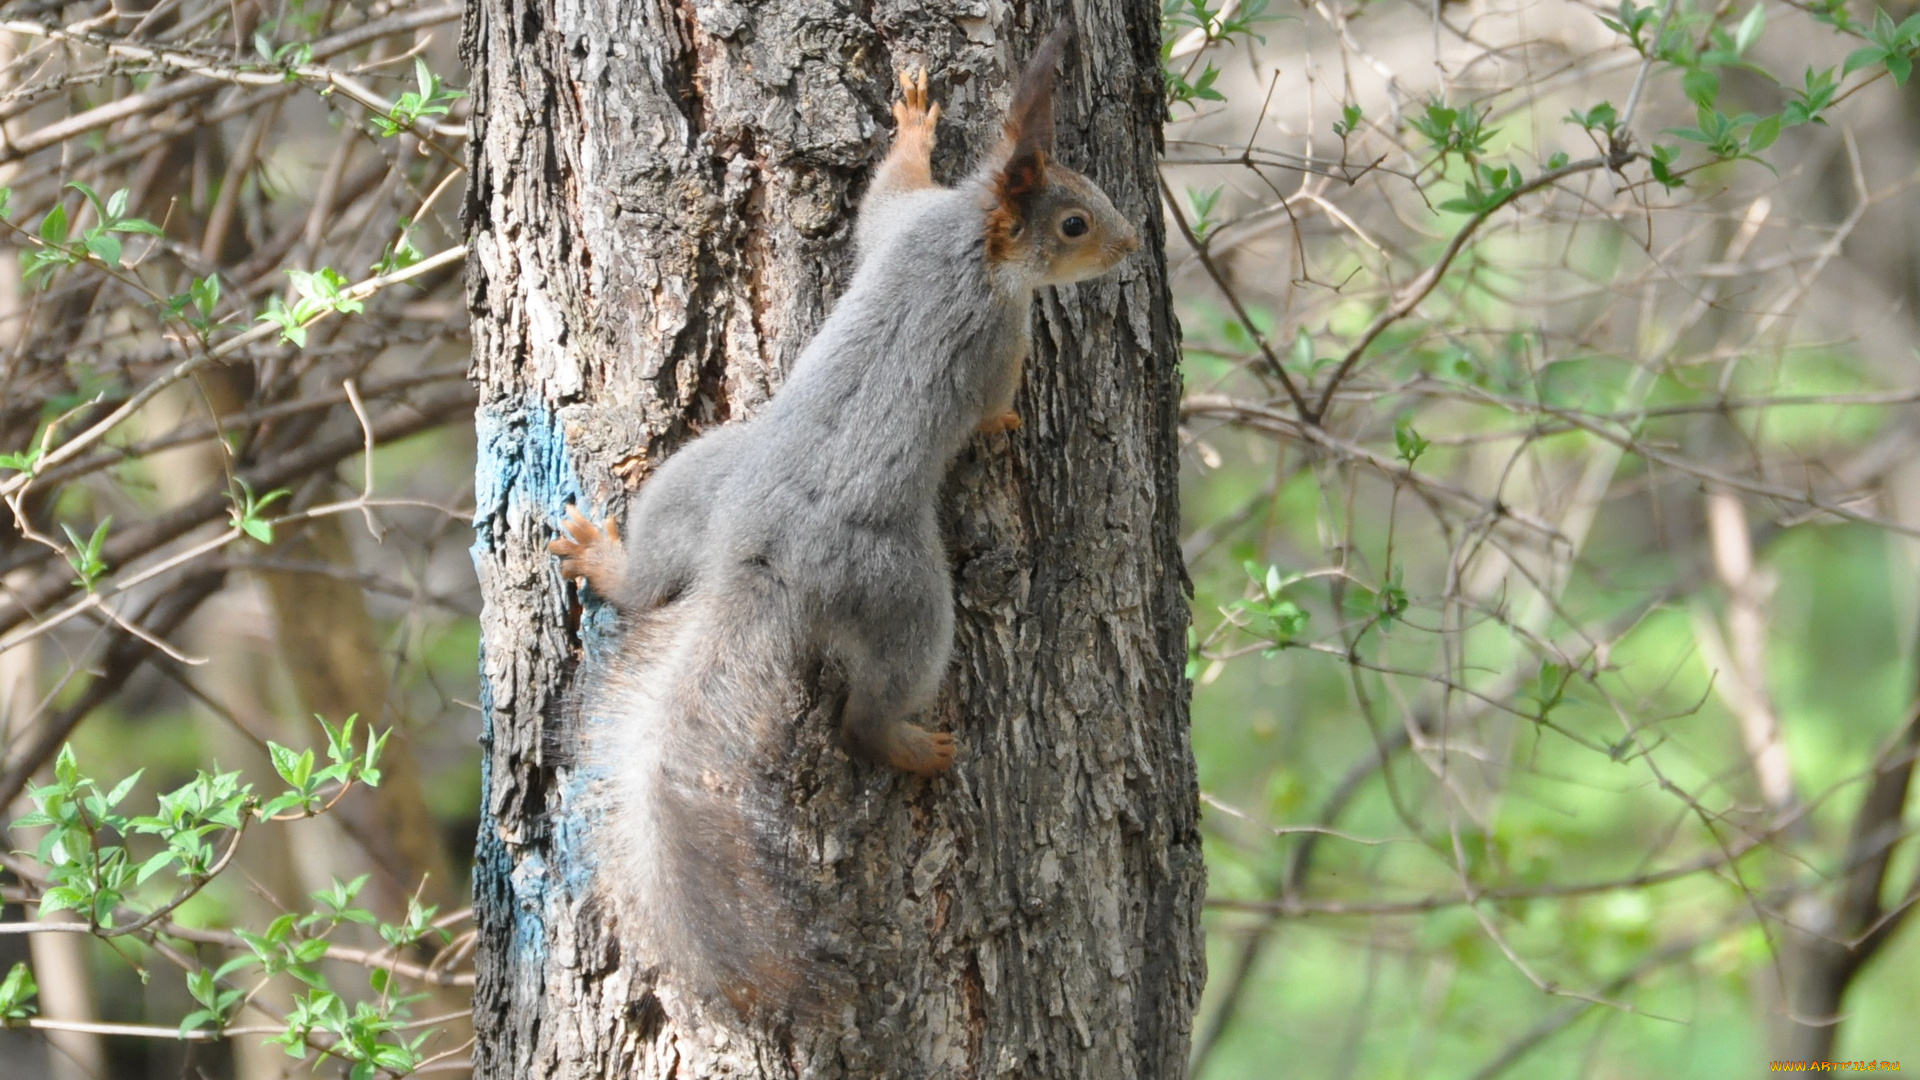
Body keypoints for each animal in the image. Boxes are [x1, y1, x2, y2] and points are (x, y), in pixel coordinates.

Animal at [545, 27, 1136, 1014]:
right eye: (1074, 225)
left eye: (1092, 188)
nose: (1129, 246)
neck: (971, 238)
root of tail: (758, 557)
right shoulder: (1000, 331)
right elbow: (991, 400)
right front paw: (1004, 425)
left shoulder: (907, 220)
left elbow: (884, 193)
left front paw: (915, 120)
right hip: (901, 594)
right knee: (869, 709)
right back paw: (910, 746)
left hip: (697, 478)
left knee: (650, 578)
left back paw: (603, 561)